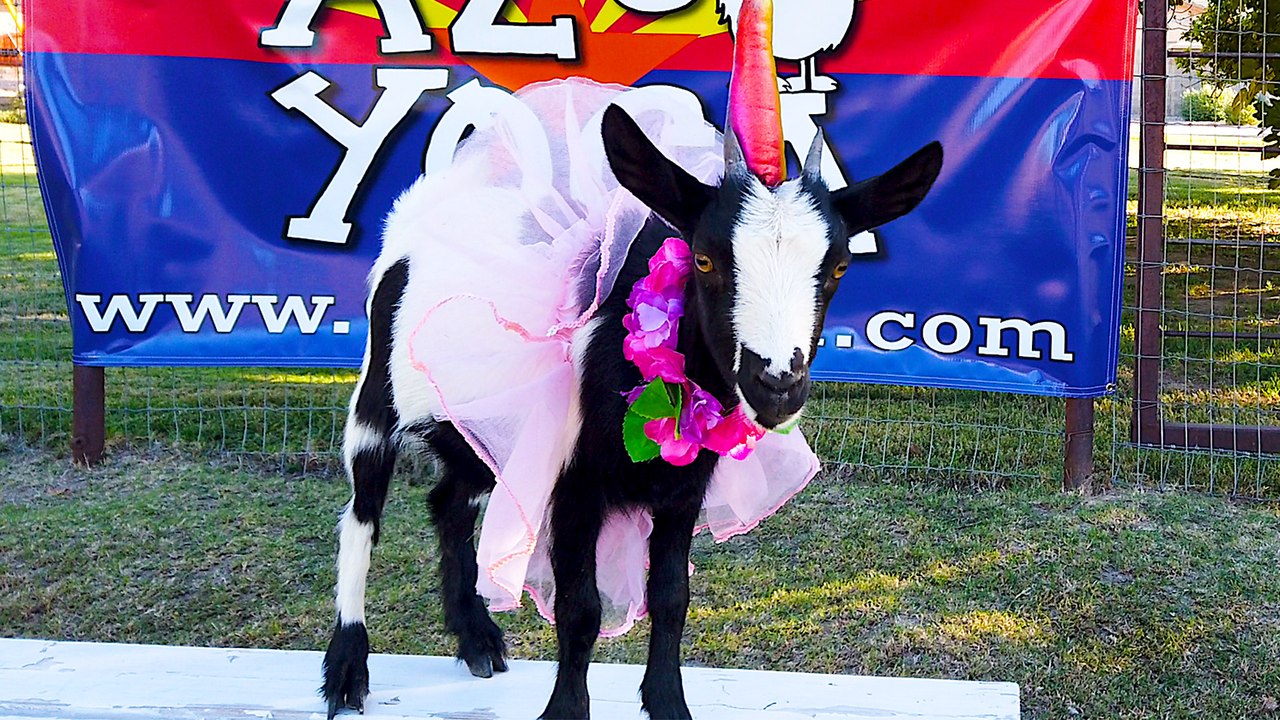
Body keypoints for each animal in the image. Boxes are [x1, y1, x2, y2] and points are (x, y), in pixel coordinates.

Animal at [320, 80, 943, 719]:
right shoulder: (572, 483)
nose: (776, 384)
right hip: (375, 403)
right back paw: (347, 668)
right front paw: (566, 712)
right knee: (361, 516)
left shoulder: (684, 487)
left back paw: (477, 640)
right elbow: (580, 608)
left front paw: (667, 703)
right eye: (704, 258)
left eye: (839, 265)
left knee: (448, 502)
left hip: (483, 433)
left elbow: (671, 596)